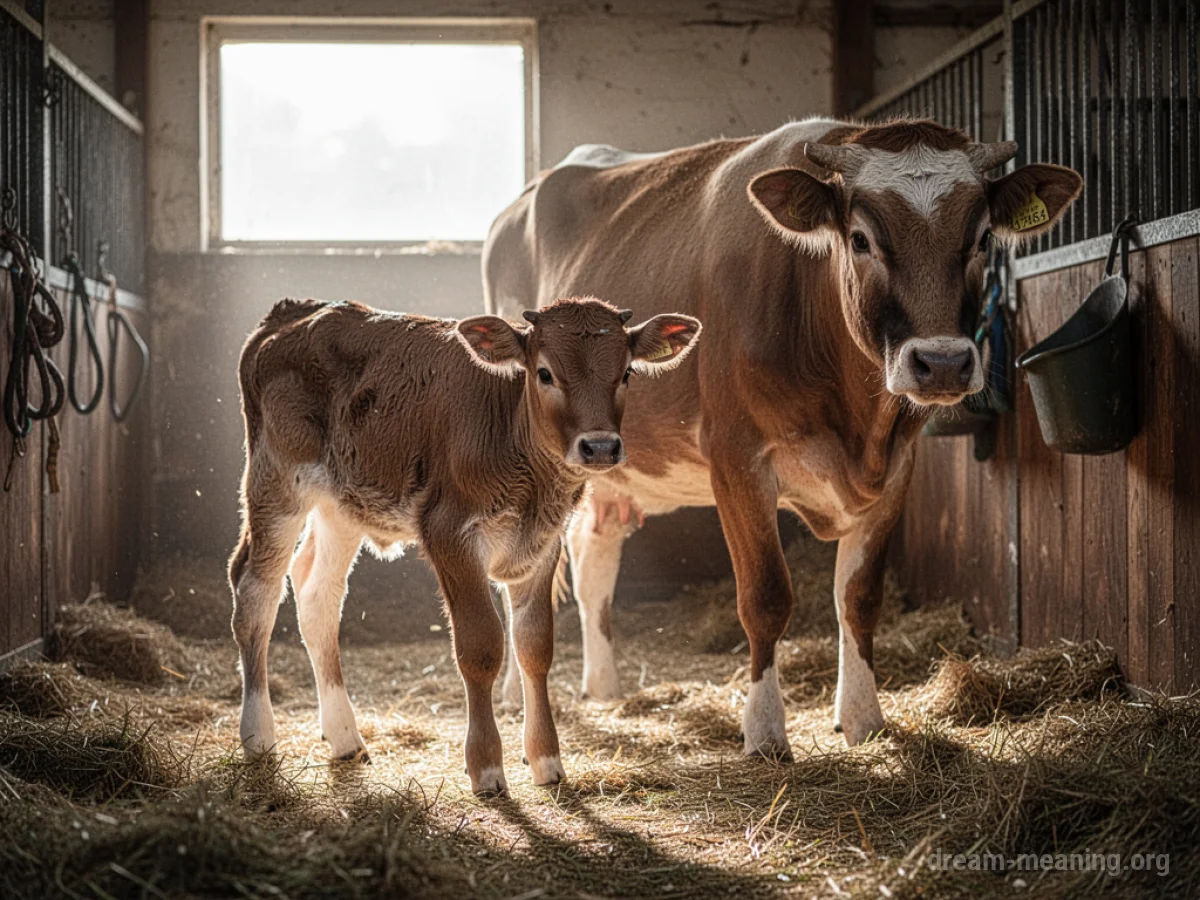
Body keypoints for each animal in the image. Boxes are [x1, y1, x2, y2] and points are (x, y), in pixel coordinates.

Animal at [228, 296, 701, 795]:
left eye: (626, 372)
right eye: (545, 372)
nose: (601, 446)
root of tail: (293, 311)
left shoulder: (544, 544)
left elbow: (535, 646)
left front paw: (546, 760)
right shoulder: (449, 534)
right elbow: (481, 646)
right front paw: (487, 766)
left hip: (344, 504)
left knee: (318, 594)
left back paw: (344, 737)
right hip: (276, 480)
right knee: (255, 593)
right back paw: (258, 737)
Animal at [483, 118, 1082, 757]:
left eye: (982, 240)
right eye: (860, 239)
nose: (942, 363)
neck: (855, 419)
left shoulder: (898, 465)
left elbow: (859, 599)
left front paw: (864, 719)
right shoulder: (737, 458)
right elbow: (766, 597)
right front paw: (766, 731)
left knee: (594, 552)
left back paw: (602, 686)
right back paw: (515, 695)